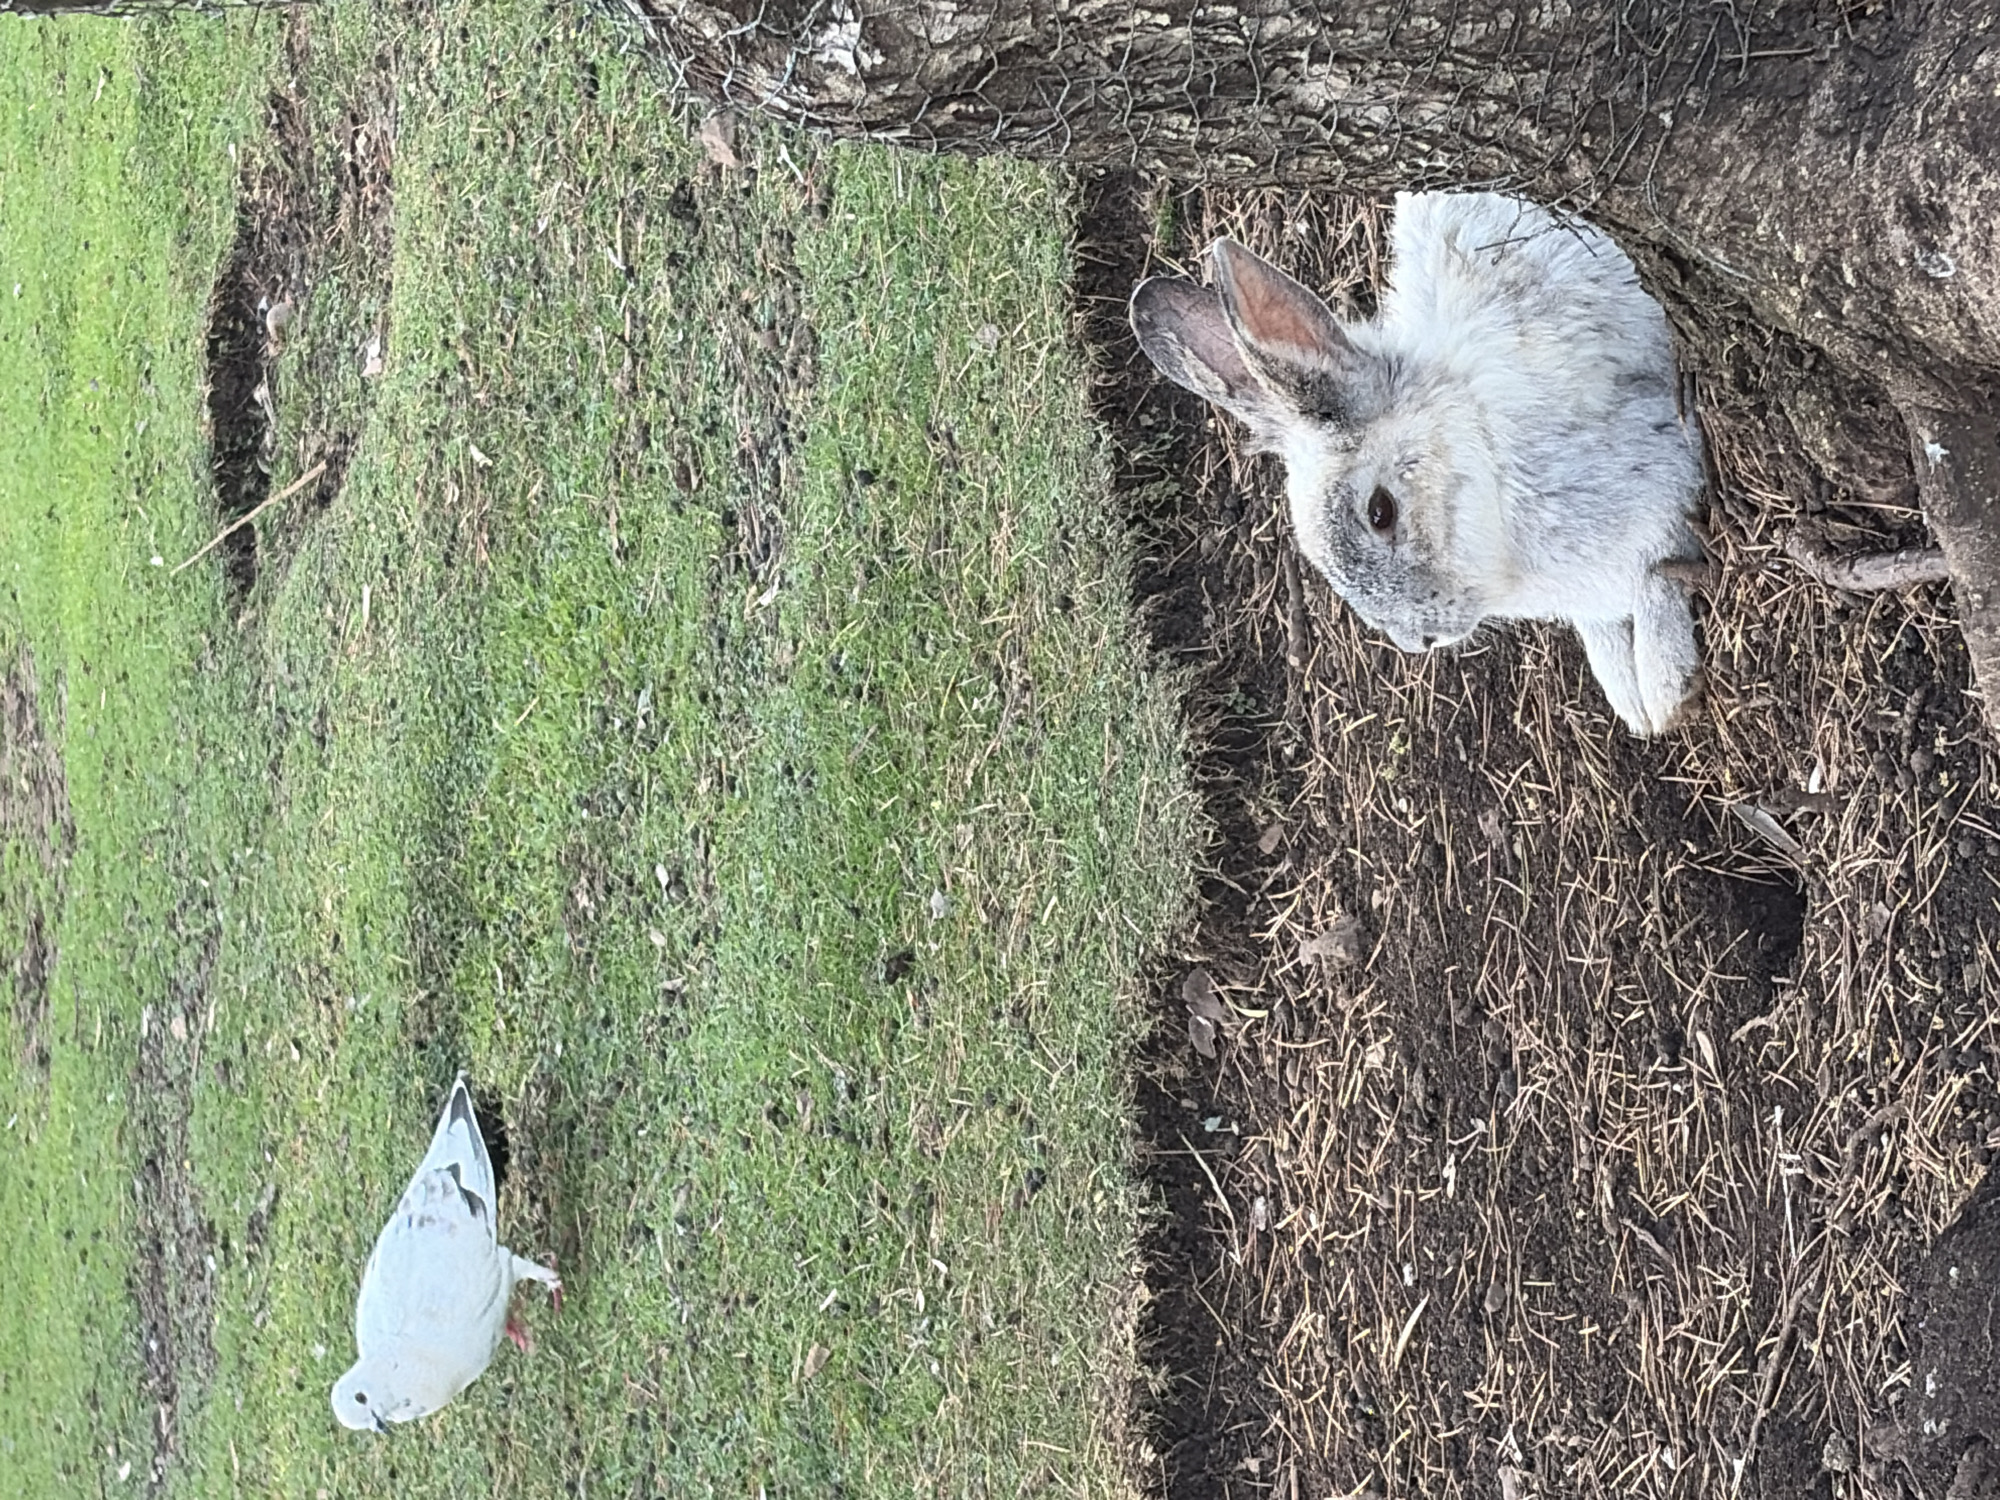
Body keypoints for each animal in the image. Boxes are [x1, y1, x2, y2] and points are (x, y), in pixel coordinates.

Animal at [1130, 192, 1708, 736]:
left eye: (1380, 511)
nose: (1421, 640)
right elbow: (1604, 623)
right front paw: (1630, 702)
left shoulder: (1662, 471)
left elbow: (1658, 576)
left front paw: (1667, 693)